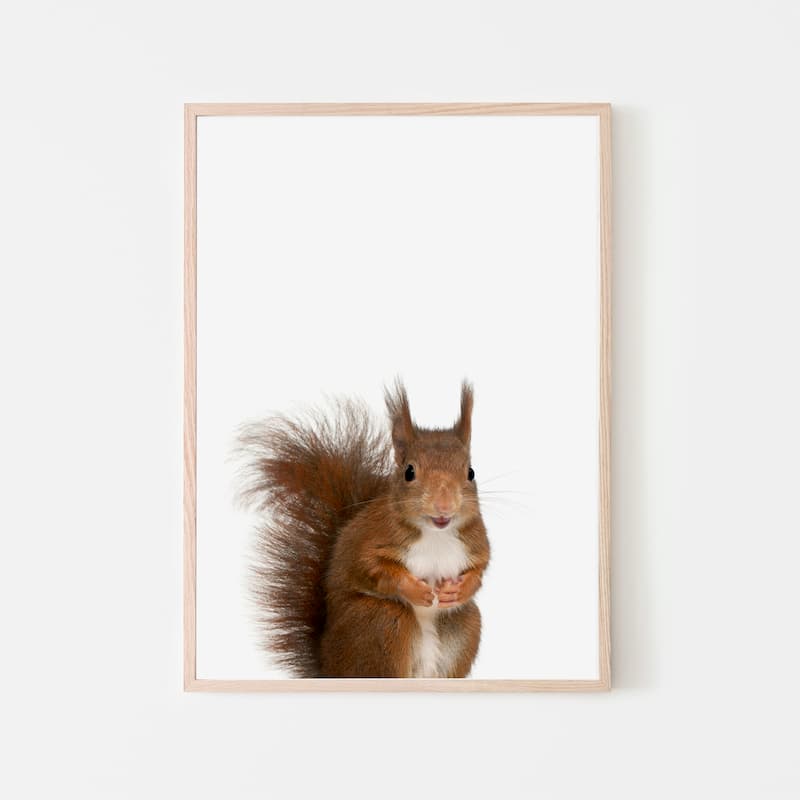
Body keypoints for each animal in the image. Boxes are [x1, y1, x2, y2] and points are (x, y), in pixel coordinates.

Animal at [236, 379, 490, 679]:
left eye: (470, 472)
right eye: (409, 472)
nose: (444, 505)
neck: (435, 534)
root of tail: (329, 669)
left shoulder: (475, 542)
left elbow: (479, 570)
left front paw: (458, 590)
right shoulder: (371, 538)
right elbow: (371, 567)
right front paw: (416, 590)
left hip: (464, 624)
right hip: (380, 622)